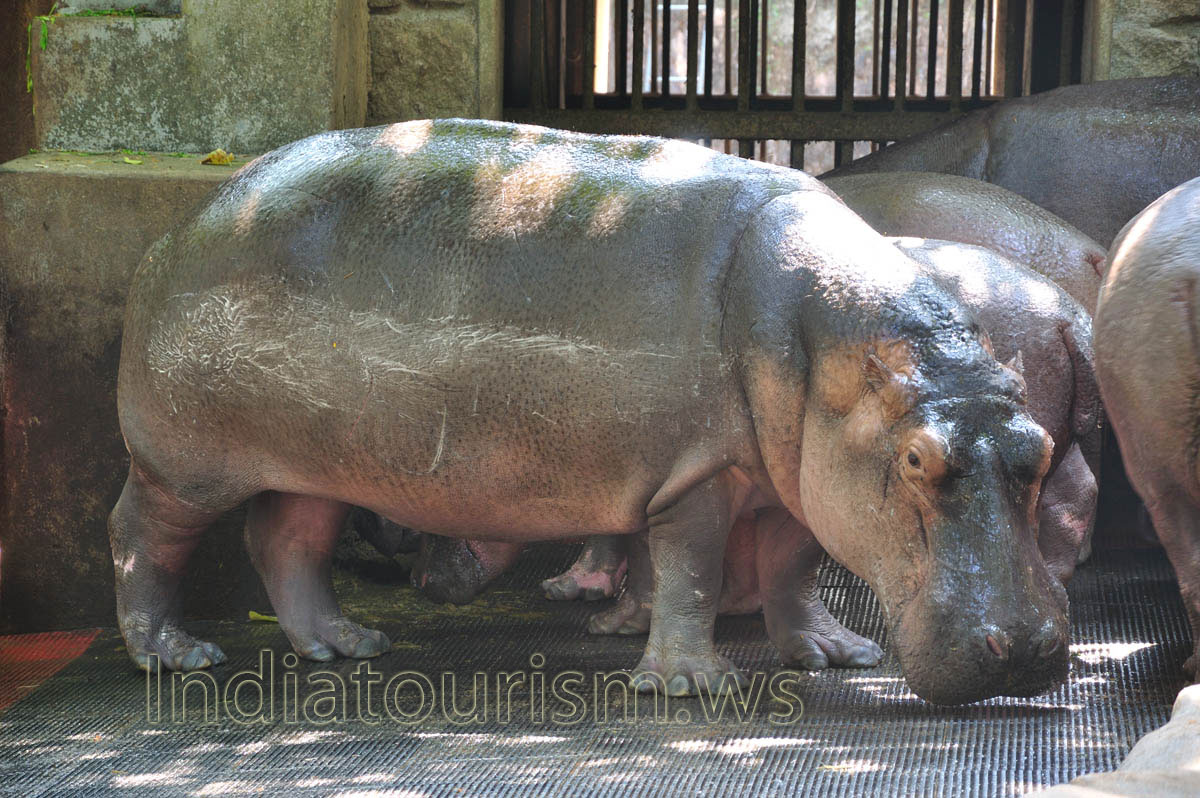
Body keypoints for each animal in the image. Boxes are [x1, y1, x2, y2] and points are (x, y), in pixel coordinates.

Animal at [111, 119, 1067, 703]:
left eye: (1042, 447)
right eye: (917, 460)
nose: (1025, 648)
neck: (836, 353)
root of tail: (182, 227)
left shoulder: (799, 478)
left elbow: (793, 569)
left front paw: (834, 655)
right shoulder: (700, 473)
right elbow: (692, 570)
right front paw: (690, 685)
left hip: (316, 461)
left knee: (287, 539)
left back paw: (347, 644)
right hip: (181, 463)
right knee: (141, 536)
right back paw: (175, 656)